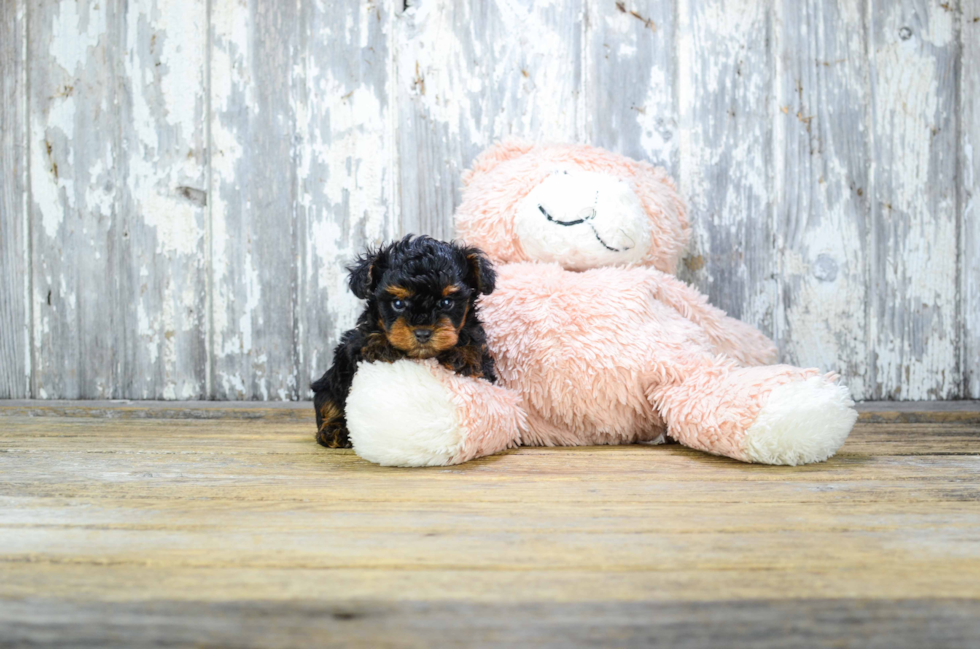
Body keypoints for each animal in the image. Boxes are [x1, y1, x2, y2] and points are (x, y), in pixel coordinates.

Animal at [312, 235, 498, 448]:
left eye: (446, 302)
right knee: (328, 400)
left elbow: (475, 346)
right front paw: (380, 345)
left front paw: (465, 355)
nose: (423, 333)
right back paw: (334, 429)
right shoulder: (351, 349)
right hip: (326, 383)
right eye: (398, 303)